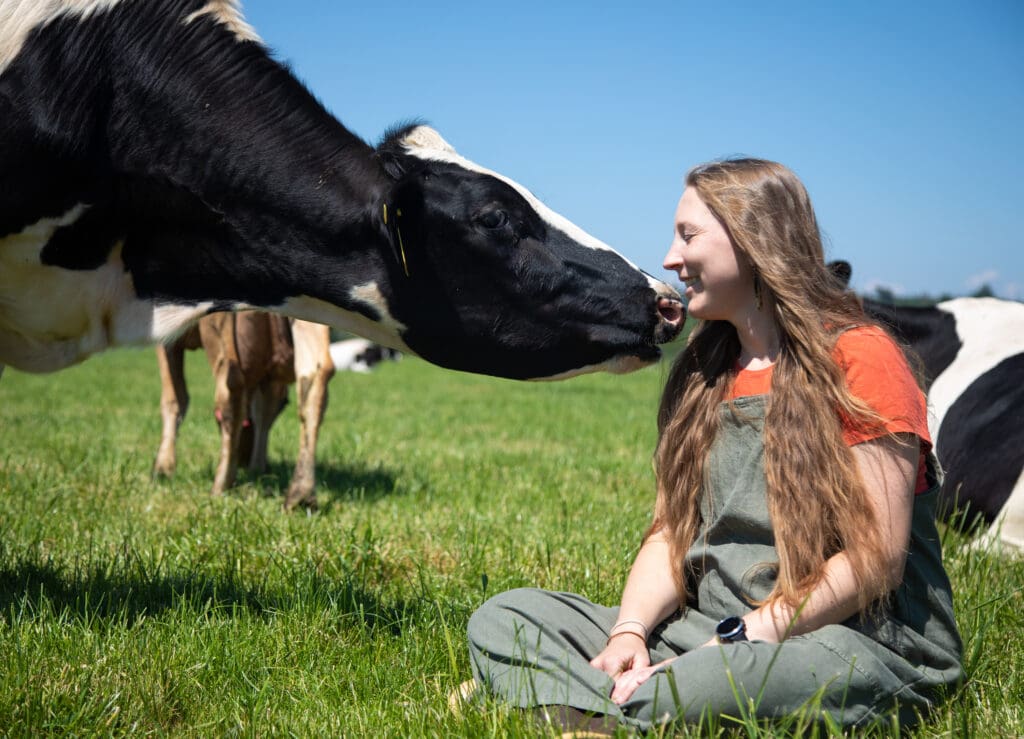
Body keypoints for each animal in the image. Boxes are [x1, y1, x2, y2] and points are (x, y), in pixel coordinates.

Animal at [151, 309, 331, 507]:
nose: (243, 460)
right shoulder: (269, 380)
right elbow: (264, 411)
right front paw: (257, 468)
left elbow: (174, 399)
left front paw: (162, 469)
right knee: (317, 374)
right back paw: (301, 494)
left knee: (232, 385)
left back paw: (221, 485)